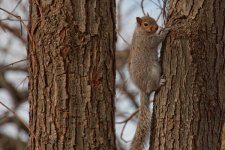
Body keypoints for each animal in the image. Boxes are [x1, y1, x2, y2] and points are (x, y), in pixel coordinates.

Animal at [128, 14, 169, 149]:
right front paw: (164, 31)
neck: (141, 31)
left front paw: (161, 29)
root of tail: (141, 88)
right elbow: (155, 41)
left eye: (154, 20)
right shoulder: (145, 41)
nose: (156, 27)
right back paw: (159, 83)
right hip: (153, 72)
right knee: (152, 87)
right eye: (145, 24)